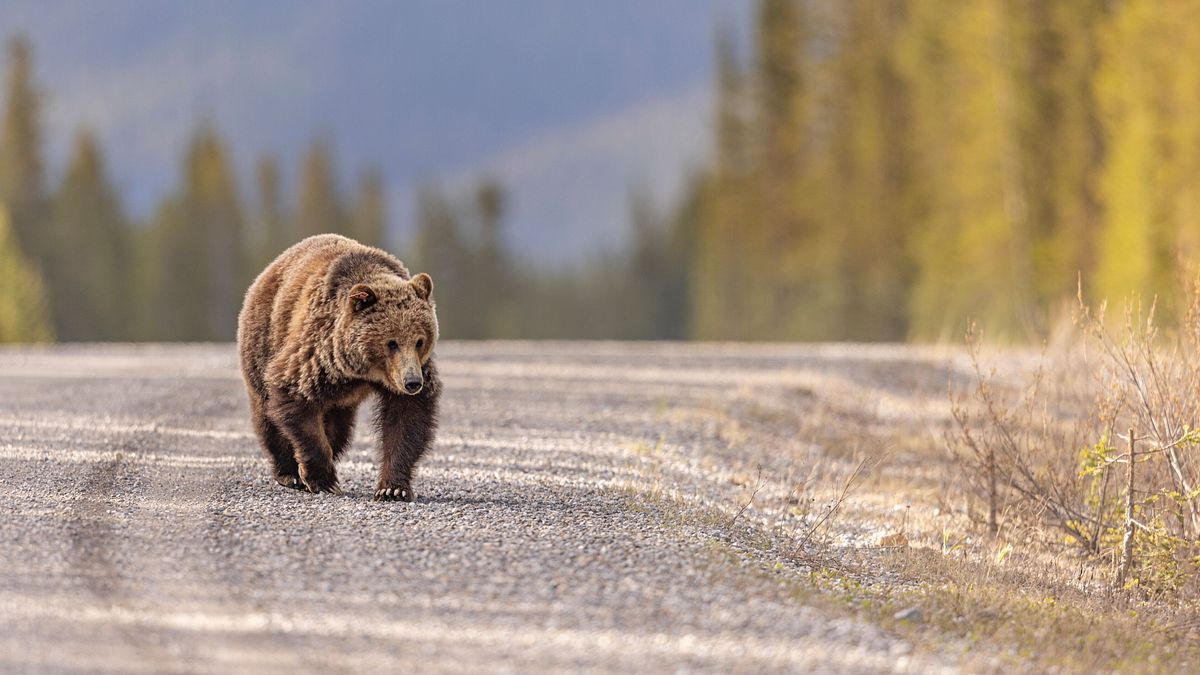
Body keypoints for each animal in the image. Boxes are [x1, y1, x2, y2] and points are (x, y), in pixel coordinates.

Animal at [237, 233, 440, 502]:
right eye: (391, 342)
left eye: (420, 340)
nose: (412, 382)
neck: (363, 372)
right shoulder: (316, 355)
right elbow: (294, 399)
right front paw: (323, 480)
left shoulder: (409, 375)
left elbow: (406, 419)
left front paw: (392, 488)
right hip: (263, 339)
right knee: (267, 415)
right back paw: (288, 473)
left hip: (339, 401)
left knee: (339, 430)